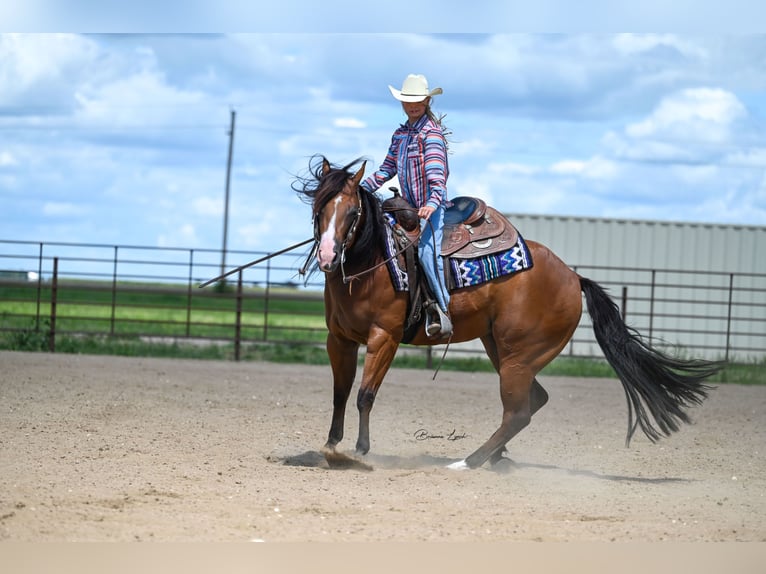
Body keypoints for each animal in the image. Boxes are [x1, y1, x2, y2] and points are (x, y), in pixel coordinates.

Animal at [294, 155, 720, 470]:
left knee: (518, 412)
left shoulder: (385, 337)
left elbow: (365, 394)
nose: (329, 256)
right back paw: (495, 457)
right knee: (533, 401)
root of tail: (573, 277)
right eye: (319, 208)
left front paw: (359, 451)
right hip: (504, 350)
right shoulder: (339, 339)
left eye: (352, 212)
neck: (373, 264)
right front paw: (331, 444)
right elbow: (340, 392)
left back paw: (469, 462)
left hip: (518, 356)